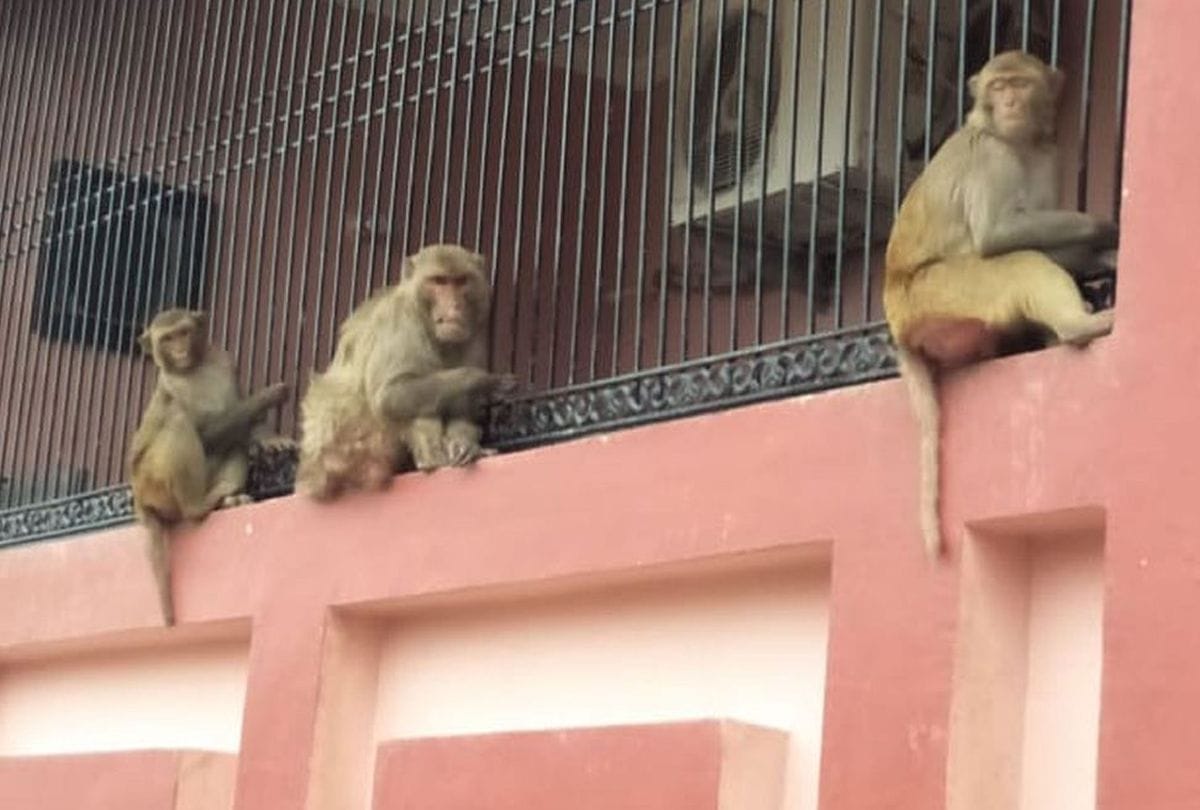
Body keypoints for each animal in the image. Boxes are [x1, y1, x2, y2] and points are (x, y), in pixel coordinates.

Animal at [129, 309, 289, 625]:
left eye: (184, 332)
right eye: (167, 339)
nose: (180, 350)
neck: (193, 368)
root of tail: (139, 497)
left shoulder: (225, 361)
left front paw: (269, 438)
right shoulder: (172, 388)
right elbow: (207, 433)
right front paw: (267, 396)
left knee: (235, 443)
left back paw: (227, 498)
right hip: (153, 482)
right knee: (179, 423)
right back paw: (197, 506)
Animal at [295, 244, 514, 500]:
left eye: (461, 281)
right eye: (439, 281)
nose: (455, 306)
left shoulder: (474, 334)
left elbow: (465, 405)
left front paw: (465, 444)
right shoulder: (402, 320)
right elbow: (391, 394)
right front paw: (484, 381)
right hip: (350, 450)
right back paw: (432, 461)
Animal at [883, 51, 1117, 558]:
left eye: (1020, 84)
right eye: (998, 86)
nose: (1009, 102)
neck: (1018, 142)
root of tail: (897, 321)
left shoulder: (1049, 155)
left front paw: (1103, 252)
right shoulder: (992, 155)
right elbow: (999, 234)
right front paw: (1106, 229)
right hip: (938, 294)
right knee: (1017, 262)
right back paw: (1078, 327)